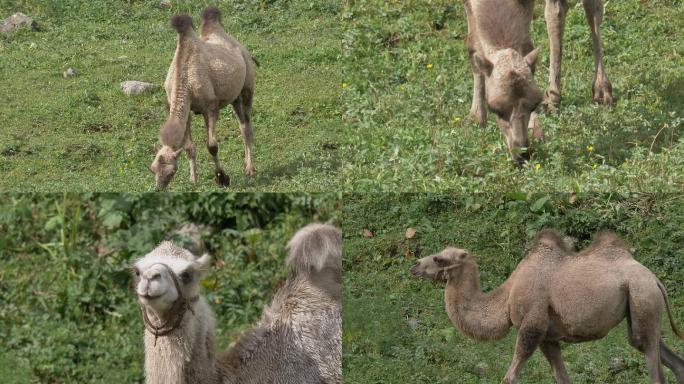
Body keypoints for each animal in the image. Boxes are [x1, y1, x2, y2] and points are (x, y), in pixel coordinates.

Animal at [150, 6, 256, 190]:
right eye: (152, 169)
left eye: (170, 172)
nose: (159, 188)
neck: (185, 79)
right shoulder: (188, 111)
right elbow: (189, 148)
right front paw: (194, 180)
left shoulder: (210, 107)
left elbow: (212, 146)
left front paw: (222, 178)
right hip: (234, 97)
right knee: (242, 124)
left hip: (247, 86)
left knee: (247, 126)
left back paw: (250, 170)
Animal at [412, 230, 684, 382]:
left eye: (439, 259)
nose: (414, 265)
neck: (507, 295)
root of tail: (654, 278)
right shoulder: (548, 338)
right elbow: (562, 377)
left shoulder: (532, 325)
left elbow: (510, 376)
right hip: (641, 309)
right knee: (663, 354)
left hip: (642, 295)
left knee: (656, 372)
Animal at [464, 0, 616, 164]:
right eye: (494, 108)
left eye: (535, 104)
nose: (523, 153)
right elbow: (473, 47)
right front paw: (477, 117)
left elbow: (526, 45)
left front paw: (536, 131)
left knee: (582, 10)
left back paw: (600, 90)